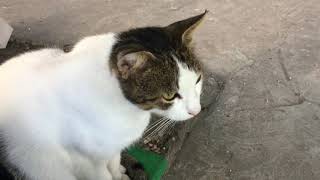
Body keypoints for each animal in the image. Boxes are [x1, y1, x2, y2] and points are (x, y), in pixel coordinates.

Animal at [0, 10, 208, 179]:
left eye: (198, 80)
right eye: (169, 96)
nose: (196, 111)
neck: (127, 109)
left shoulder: (114, 146)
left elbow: (114, 163)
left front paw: (119, 174)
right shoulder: (83, 159)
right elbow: (102, 176)